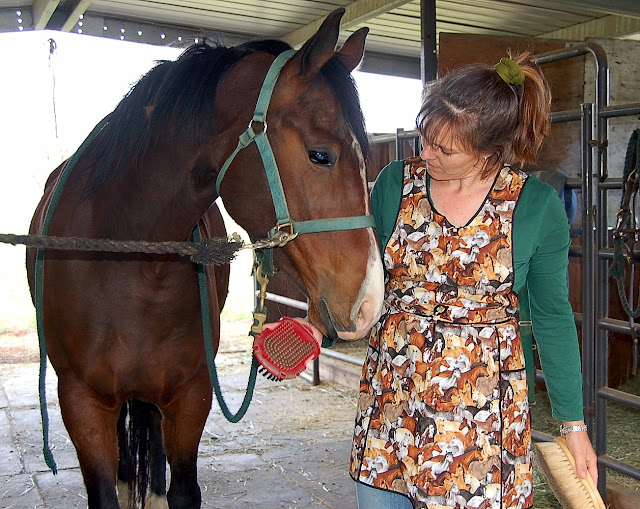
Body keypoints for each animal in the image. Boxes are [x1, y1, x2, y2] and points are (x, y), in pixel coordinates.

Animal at [25, 8, 384, 508]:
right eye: (320, 155)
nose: (370, 301)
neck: (127, 263)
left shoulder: (190, 395)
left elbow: (182, 489)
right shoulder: (80, 401)